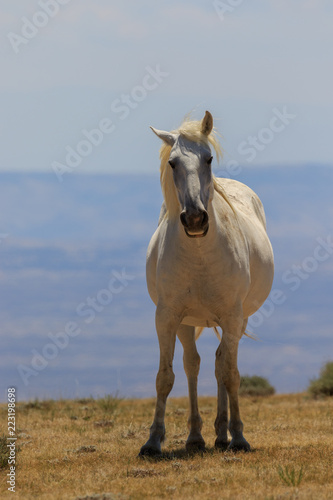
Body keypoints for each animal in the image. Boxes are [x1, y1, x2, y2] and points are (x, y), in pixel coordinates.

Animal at [139, 111, 274, 456]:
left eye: (208, 158)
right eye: (172, 163)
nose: (195, 219)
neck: (199, 254)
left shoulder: (232, 316)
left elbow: (231, 374)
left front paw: (239, 437)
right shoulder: (166, 317)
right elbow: (165, 376)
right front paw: (152, 441)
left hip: (238, 320)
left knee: (221, 363)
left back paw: (223, 434)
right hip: (187, 322)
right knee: (194, 365)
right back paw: (196, 437)